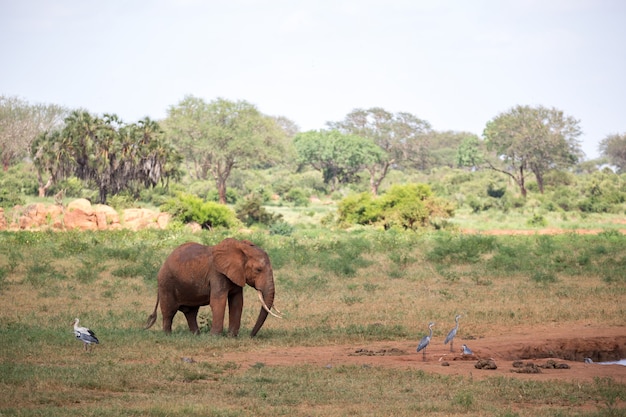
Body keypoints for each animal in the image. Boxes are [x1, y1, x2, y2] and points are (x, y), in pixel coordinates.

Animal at [144, 237, 280, 334]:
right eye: (258, 270)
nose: (251, 335)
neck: (240, 247)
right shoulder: (217, 274)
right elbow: (218, 301)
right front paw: (215, 336)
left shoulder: (236, 274)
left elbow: (237, 302)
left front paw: (231, 337)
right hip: (166, 283)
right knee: (169, 311)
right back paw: (167, 335)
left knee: (191, 312)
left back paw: (196, 335)